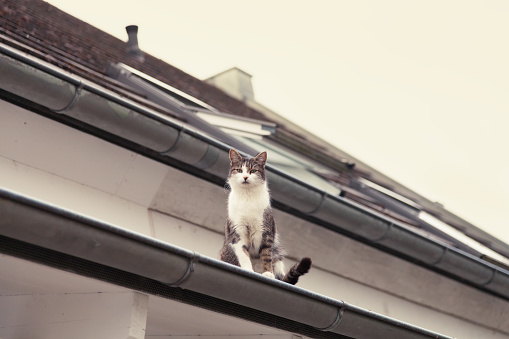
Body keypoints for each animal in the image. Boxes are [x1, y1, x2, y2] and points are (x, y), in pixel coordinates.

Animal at [218, 150, 310, 286]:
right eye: (239, 170)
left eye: (253, 170)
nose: (245, 177)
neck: (248, 197)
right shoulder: (237, 232)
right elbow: (243, 254)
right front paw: (248, 270)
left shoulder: (265, 230)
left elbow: (266, 255)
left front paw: (267, 274)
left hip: (277, 252)